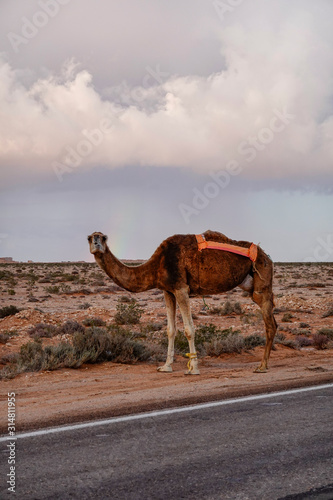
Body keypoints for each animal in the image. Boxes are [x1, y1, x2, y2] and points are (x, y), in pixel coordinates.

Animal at [87, 230, 274, 376]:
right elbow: (170, 330)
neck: (157, 265)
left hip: (261, 281)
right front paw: (165, 366)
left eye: (104, 237)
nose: (96, 242)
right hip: (251, 285)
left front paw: (193, 369)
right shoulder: (168, 291)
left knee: (269, 323)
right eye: (89, 237)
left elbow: (189, 329)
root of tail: (268, 257)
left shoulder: (181, 288)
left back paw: (262, 366)